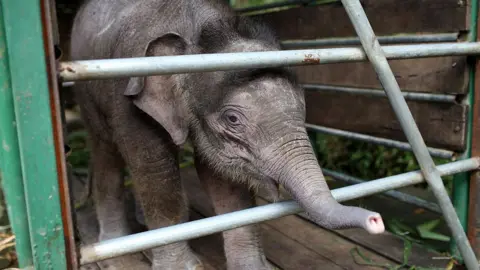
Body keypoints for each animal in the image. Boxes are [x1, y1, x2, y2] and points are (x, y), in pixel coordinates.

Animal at [70, 0, 382, 270]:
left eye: (302, 107)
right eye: (233, 119)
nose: (376, 220)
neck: (197, 29)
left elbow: (224, 179)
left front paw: (253, 267)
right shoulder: (130, 96)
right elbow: (155, 170)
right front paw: (181, 267)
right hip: (87, 92)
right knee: (105, 151)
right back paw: (116, 243)